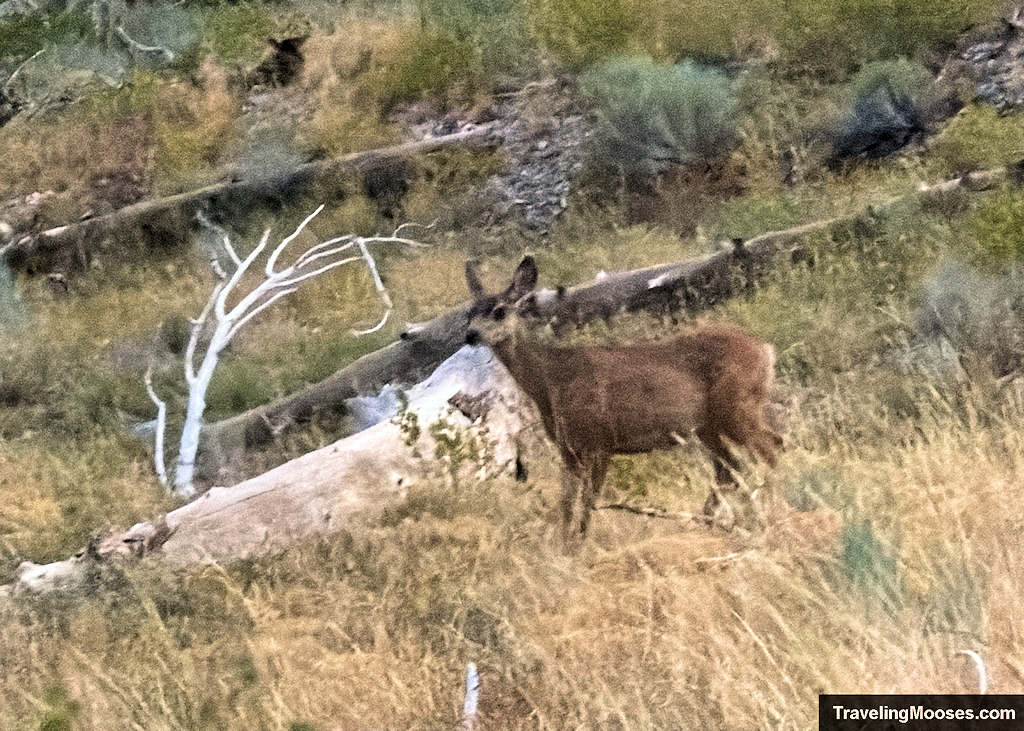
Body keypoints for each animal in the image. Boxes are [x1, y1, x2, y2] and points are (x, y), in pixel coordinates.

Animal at [464, 256, 783, 548]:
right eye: (468, 313)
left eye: (499, 311)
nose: (470, 335)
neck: (550, 380)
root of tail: (766, 350)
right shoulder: (568, 447)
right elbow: (566, 502)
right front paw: (563, 545)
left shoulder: (599, 440)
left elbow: (588, 499)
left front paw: (579, 546)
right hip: (709, 426)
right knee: (730, 467)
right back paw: (708, 521)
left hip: (736, 407)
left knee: (770, 446)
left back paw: (768, 520)